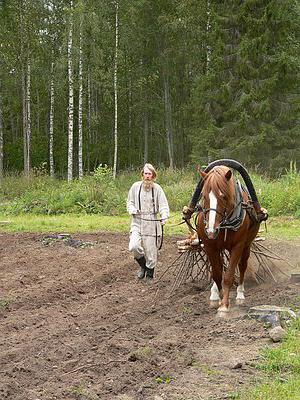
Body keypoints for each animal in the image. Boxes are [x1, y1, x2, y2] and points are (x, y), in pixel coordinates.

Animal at [196, 166, 262, 316]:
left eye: (223, 196)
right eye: (204, 196)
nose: (211, 230)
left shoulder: (238, 246)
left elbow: (228, 275)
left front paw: (224, 305)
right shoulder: (210, 246)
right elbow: (216, 274)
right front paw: (219, 298)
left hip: (246, 246)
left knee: (242, 266)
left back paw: (240, 295)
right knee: (218, 268)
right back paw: (214, 294)